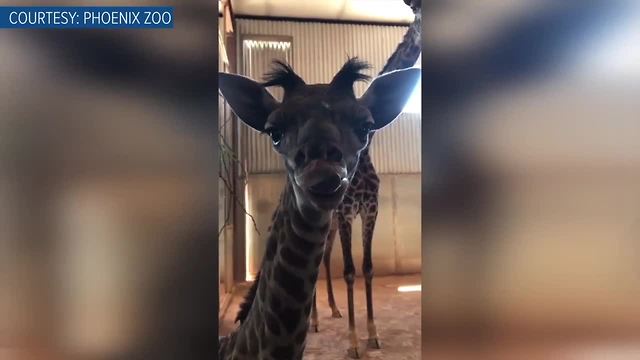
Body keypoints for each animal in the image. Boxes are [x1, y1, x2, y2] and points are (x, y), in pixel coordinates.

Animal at [220, 59, 420, 360]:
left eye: (365, 127)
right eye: (274, 132)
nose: (322, 172)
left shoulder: (369, 211)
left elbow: (366, 268)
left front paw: (371, 336)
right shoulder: (349, 212)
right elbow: (349, 270)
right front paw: (354, 342)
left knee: (327, 258)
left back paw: (333, 311)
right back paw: (317, 320)